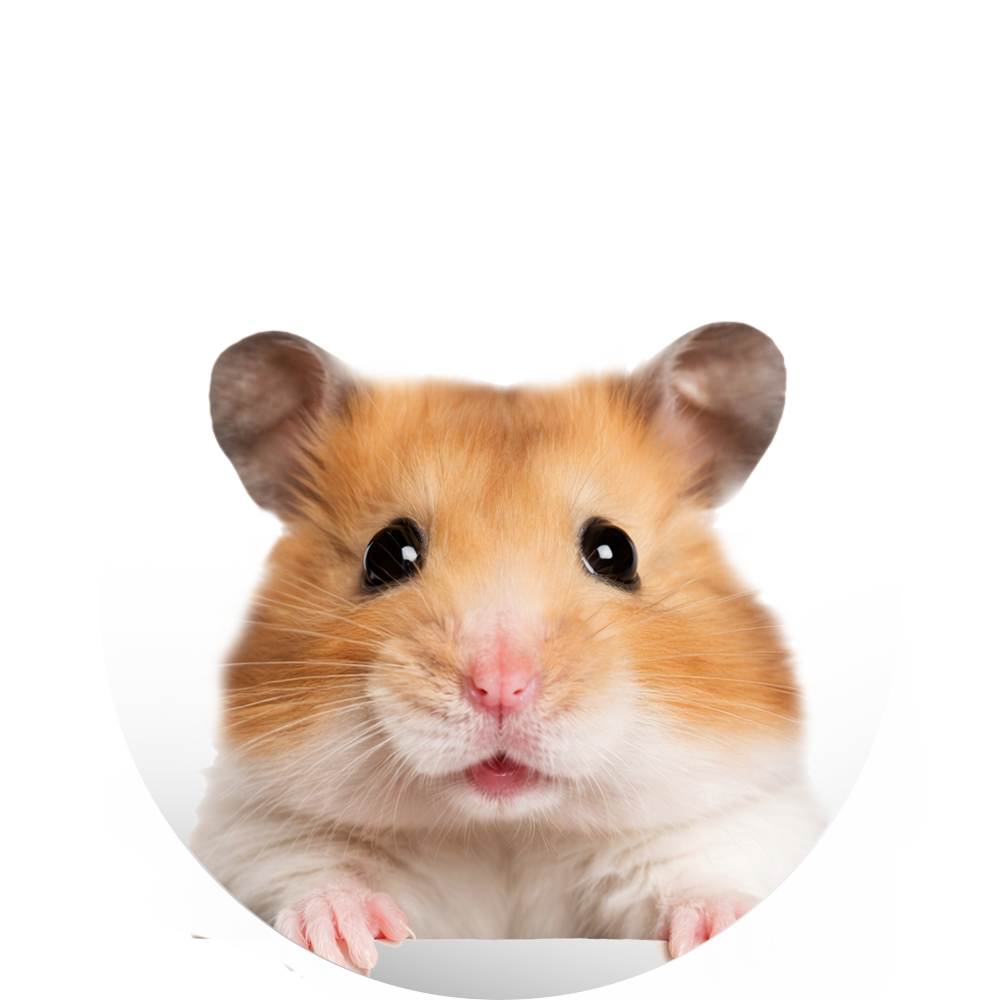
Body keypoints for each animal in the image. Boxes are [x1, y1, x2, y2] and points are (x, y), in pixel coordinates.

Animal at [186, 322, 842, 991]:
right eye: (386, 554)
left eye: (616, 552)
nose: (500, 688)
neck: (505, 831)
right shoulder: (248, 833)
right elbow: (310, 868)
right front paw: (345, 946)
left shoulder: (744, 818)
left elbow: (710, 871)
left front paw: (732, 948)